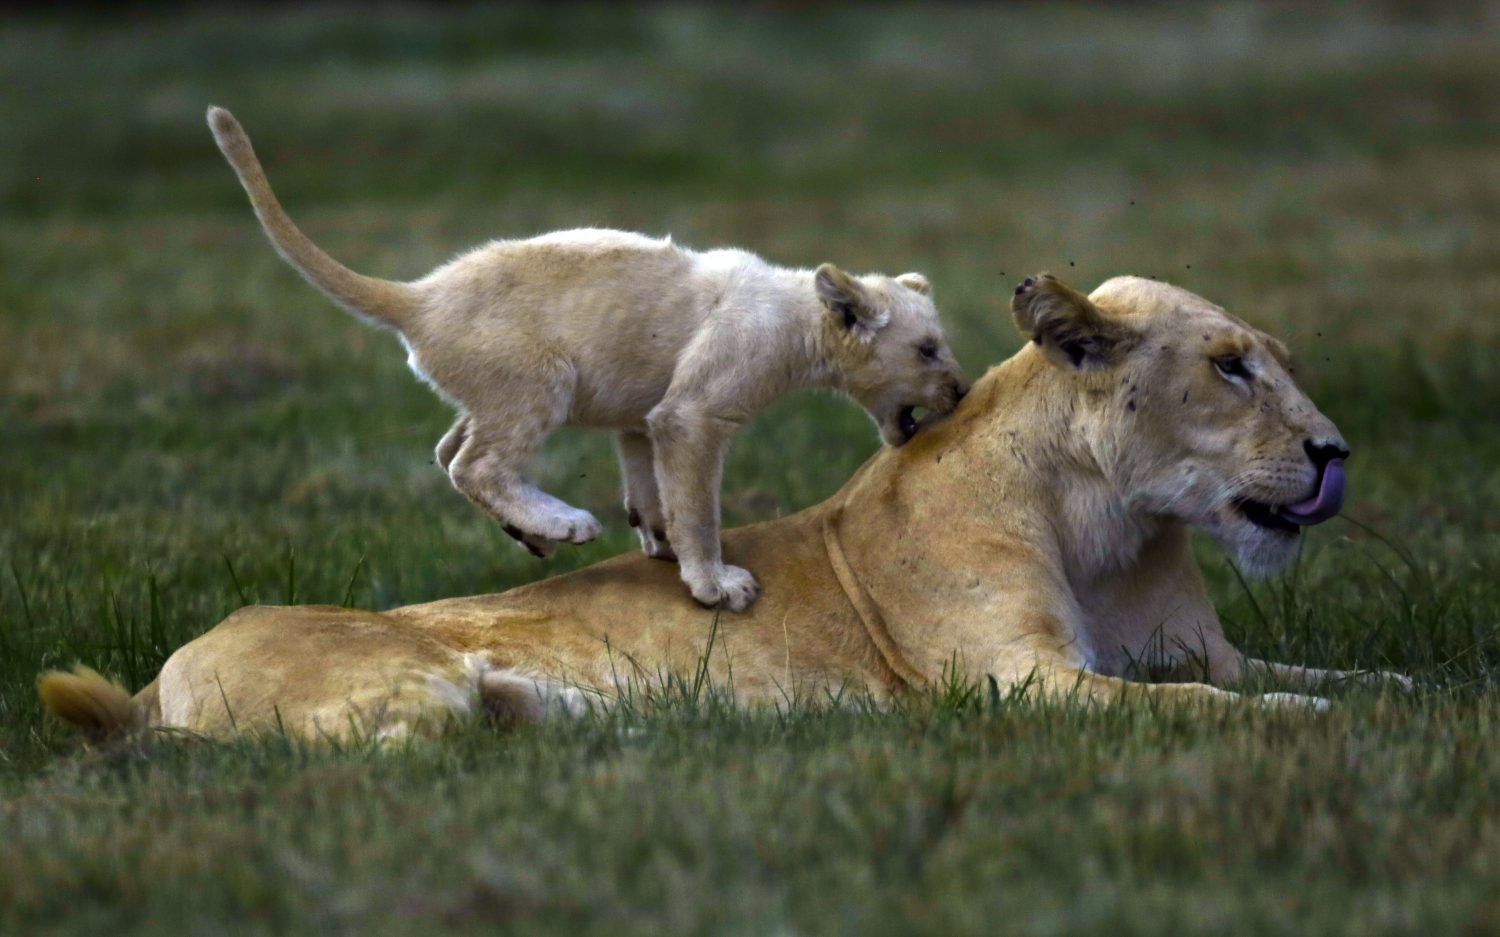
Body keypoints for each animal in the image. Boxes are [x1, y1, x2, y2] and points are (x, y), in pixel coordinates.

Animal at [38, 274, 1409, 742]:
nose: (1336, 452)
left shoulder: (1202, 643)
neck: (1116, 529)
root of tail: (160, 670)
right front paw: (1306, 725)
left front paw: (1408, 698)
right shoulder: (1016, 686)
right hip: (408, 689)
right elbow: (1211, 708)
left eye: (1274, 358)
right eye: (1229, 366)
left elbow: (1373, 681)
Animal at [206, 107, 968, 610]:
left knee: (449, 452)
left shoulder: (644, 420)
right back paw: (566, 523)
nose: (961, 390)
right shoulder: (691, 415)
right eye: (928, 349)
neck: (799, 320)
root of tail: (420, 295)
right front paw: (715, 583)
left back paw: (533, 533)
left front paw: (661, 546)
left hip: (496, 394)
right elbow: (699, 505)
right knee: (476, 463)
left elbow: (654, 492)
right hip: (542, 382)